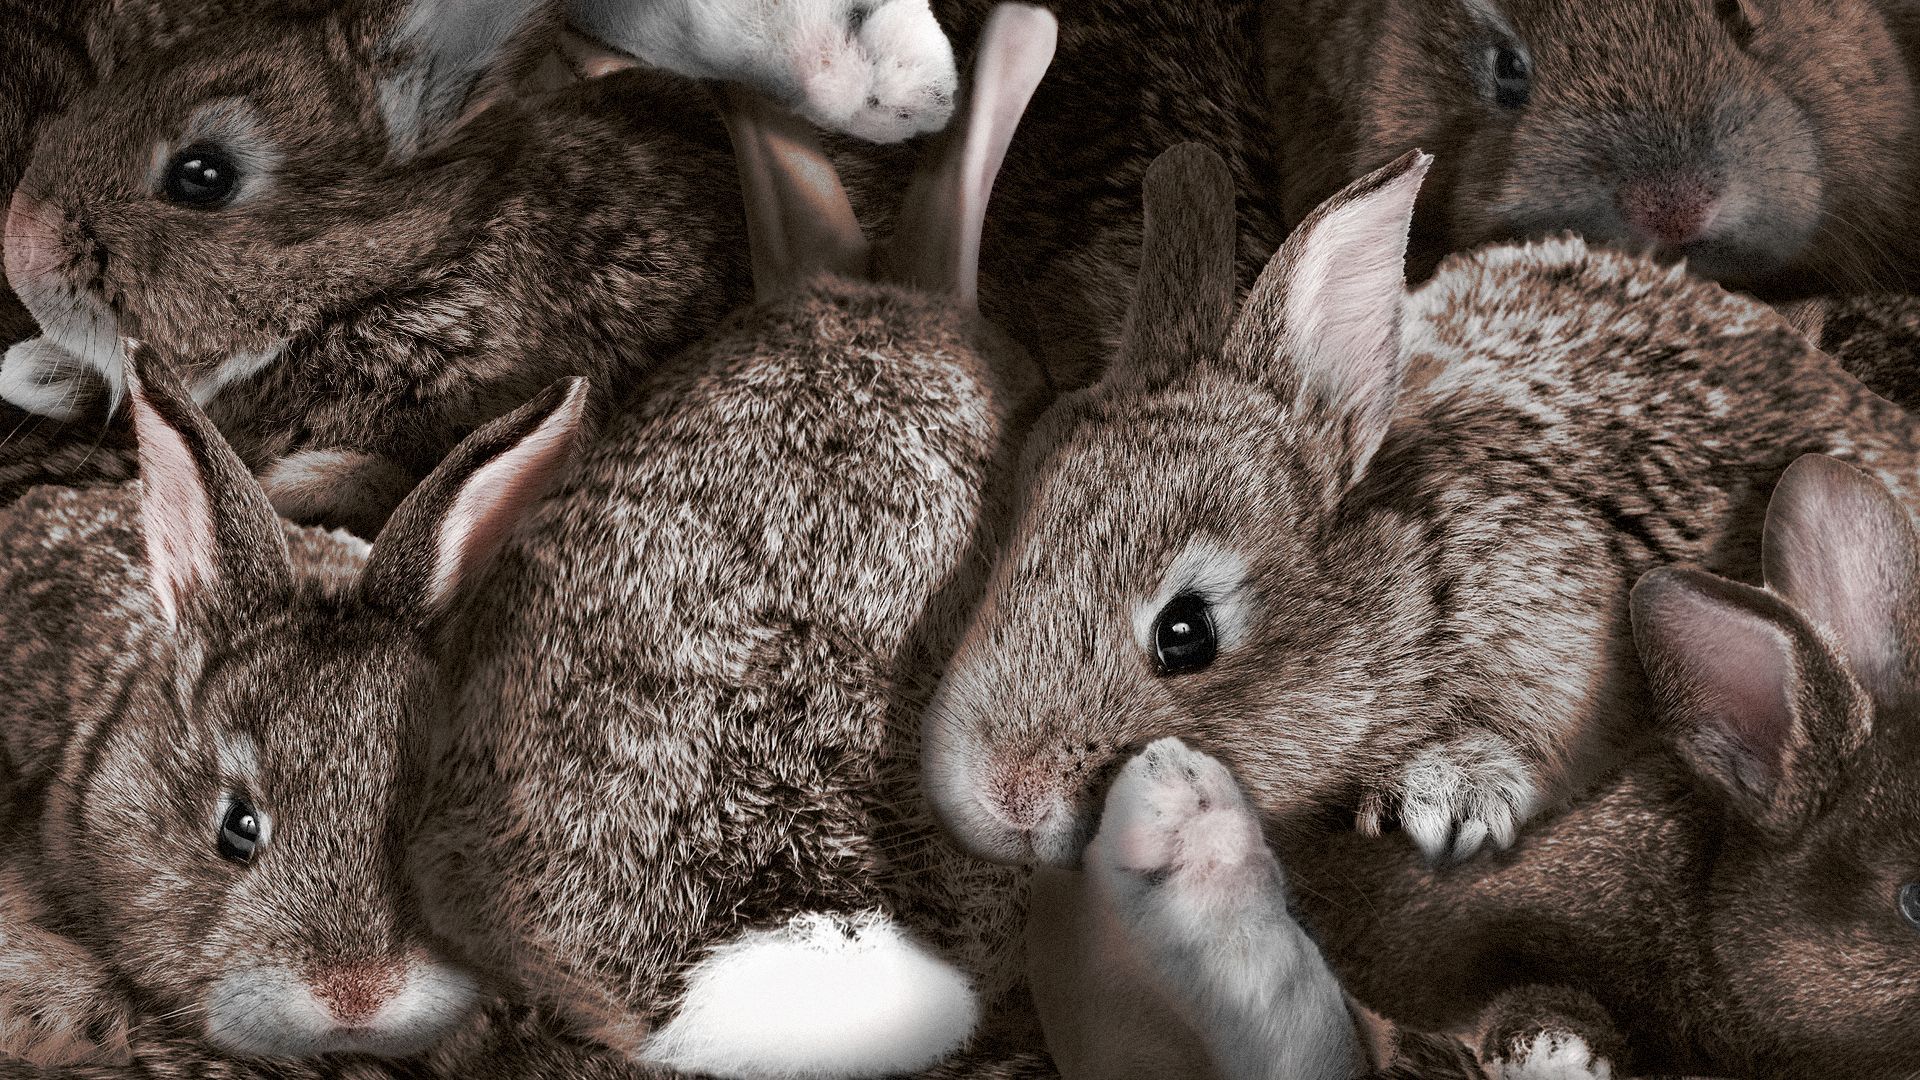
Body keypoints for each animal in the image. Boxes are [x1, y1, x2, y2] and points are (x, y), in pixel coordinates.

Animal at [918, 138, 1920, 874]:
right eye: (1000, 564)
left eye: (1186, 634)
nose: (1007, 798)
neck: (1406, 573)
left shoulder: (1557, 616)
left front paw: (1446, 798)